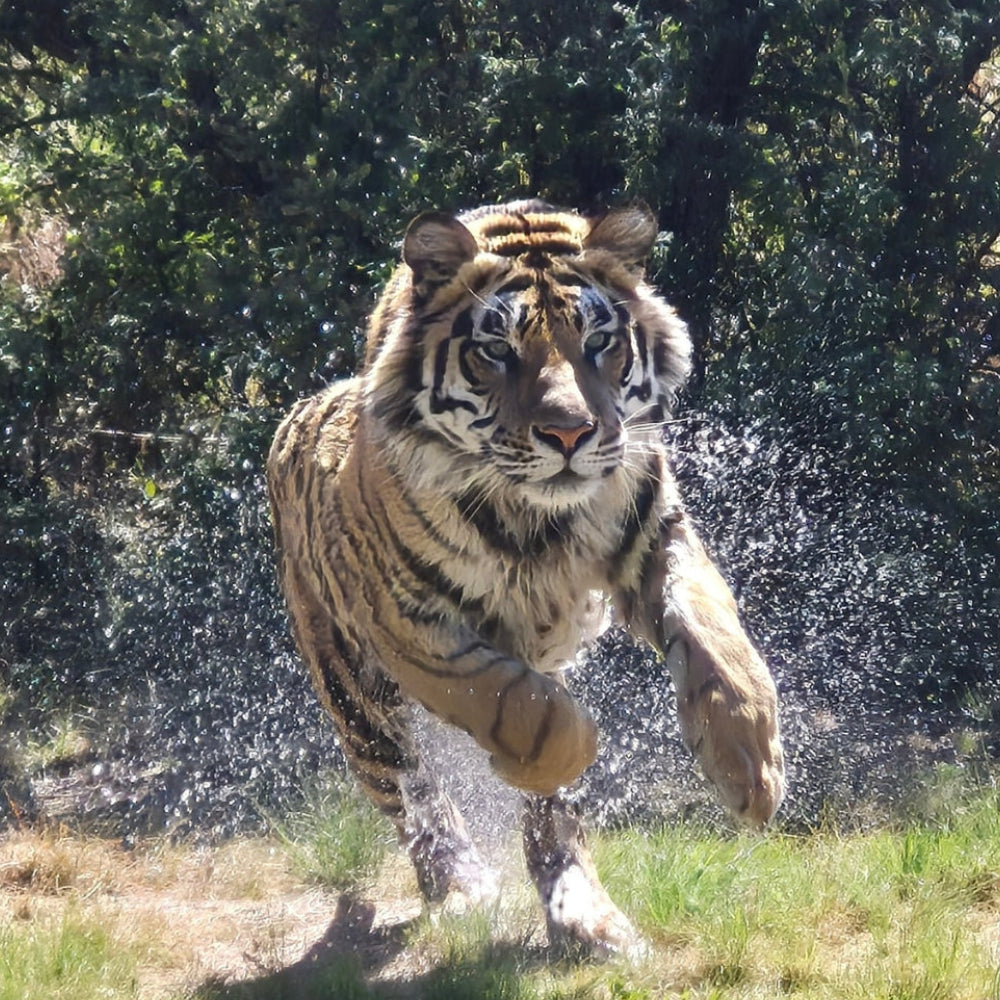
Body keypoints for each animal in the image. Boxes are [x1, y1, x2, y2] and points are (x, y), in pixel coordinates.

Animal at [266, 200, 784, 957]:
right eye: (497, 351)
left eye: (599, 342)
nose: (569, 434)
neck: (542, 521)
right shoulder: (406, 619)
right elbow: (515, 706)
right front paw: (557, 752)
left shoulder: (657, 533)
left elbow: (717, 637)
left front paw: (752, 769)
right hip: (355, 699)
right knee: (417, 802)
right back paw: (463, 889)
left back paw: (587, 918)